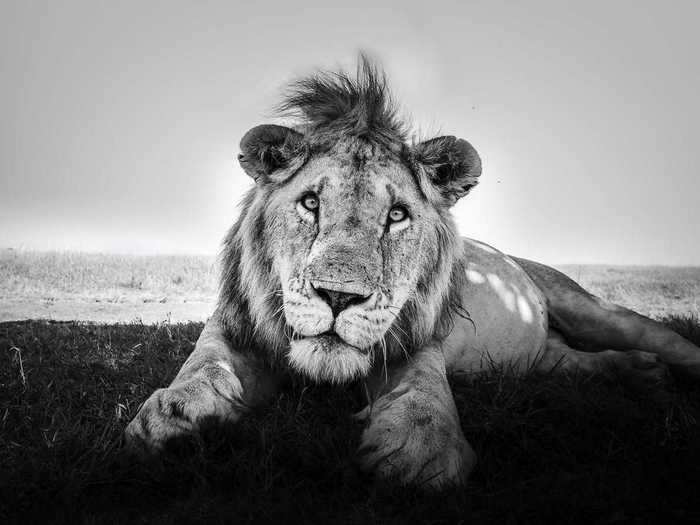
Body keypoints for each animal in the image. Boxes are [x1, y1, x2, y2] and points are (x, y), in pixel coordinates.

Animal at [126, 56, 700, 488]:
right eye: (311, 203)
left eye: (397, 215)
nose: (338, 297)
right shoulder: (232, 325)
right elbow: (203, 366)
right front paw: (171, 416)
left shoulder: (417, 336)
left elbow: (423, 394)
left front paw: (417, 452)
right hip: (540, 359)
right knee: (573, 363)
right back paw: (641, 374)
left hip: (593, 309)